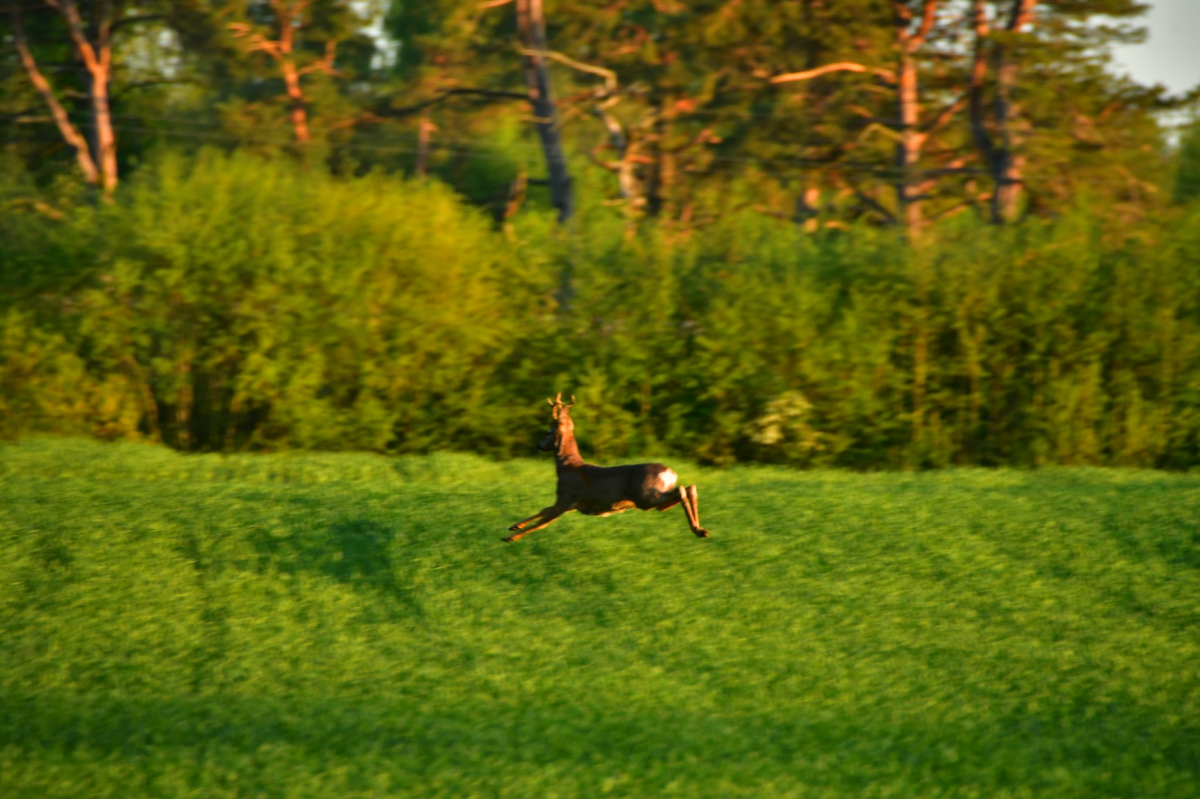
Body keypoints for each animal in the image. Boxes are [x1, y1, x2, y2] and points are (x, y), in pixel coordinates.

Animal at [501, 391, 705, 542]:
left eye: (548, 431)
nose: (539, 445)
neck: (566, 467)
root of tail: (670, 472)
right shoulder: (573, 503)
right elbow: (543, 510)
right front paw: (514, 526)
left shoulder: (566, 498)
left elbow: (542, 522)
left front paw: (511, 537)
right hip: (654, 500)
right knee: (689, 488)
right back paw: (700, 529)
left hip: (646, 497)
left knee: (682, 490)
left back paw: (698, 529)